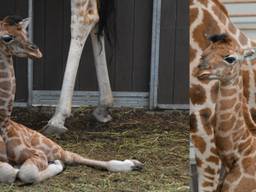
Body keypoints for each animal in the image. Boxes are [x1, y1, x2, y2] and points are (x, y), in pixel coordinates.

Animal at [0, 15, 143, 183]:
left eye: (25, 32)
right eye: (7, 37)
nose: (36, 50)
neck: (3, 123)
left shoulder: (36, 154)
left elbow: (25, 173)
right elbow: (11, 172)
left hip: (48, 145)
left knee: (73, 156)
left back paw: (133, 164)